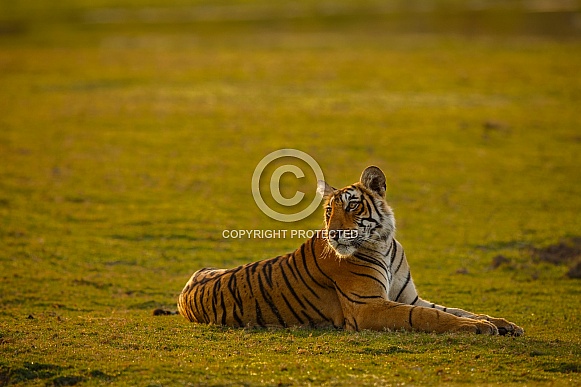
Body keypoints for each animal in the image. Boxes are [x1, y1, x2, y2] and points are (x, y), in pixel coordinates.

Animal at [176, 167, 520, 336]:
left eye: (352, 206)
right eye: (329, 211)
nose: (334, 233)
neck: (383, 243)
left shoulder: (407, 297)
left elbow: (454, 309)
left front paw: (501, 323)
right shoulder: (367, 306)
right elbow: (428, 316)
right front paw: (477, 328)